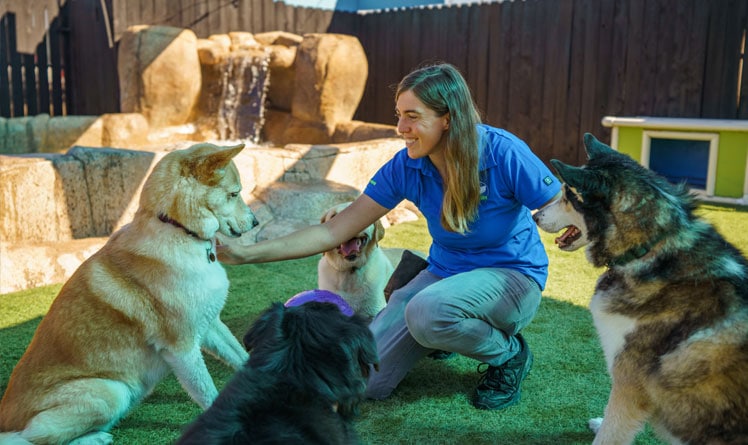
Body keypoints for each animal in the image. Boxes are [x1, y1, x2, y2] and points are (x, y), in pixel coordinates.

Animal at [0, 142, 258, 444]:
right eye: (234, 193)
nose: (256, 222)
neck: (177, 229)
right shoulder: (181, 348)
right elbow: (208, 394)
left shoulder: (210, 325)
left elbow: (241, 358)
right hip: (109, 391)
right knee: (31, 437)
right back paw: (94, 438)